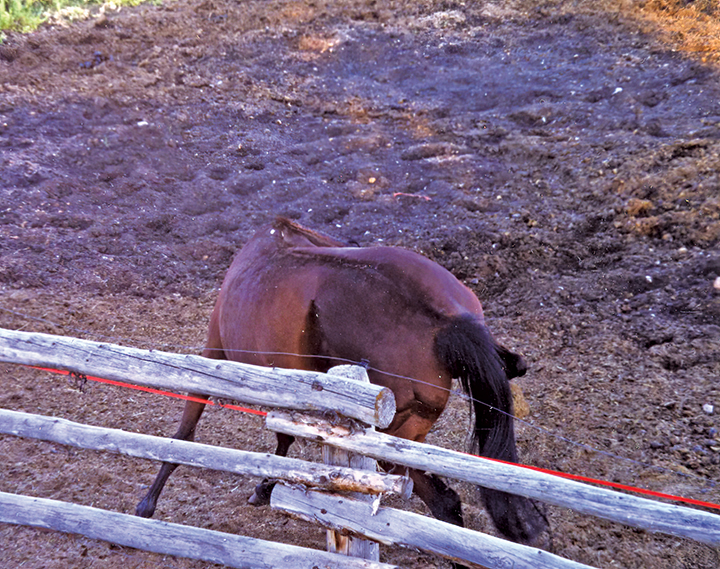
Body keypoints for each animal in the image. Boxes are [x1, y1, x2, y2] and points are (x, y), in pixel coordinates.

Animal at [138, 214, 548, 544]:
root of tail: (445, 322)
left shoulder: (214, 352)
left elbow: (186, 430)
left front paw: (148, 503)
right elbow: (284, 436)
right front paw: (265, 485)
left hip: (392, 440)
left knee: (445, 502)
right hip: (409, 434)